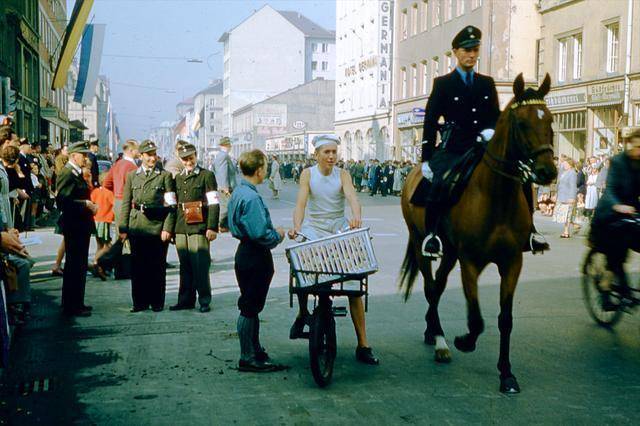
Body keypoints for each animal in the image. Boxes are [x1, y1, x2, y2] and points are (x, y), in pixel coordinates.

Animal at [402, 73, 556, 392]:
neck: (496, 196)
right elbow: (476, 320)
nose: (548, 172)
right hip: (422, 242)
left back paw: (432, 332)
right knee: (430, 286)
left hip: (449, 252)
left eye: (549, 120)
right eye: (522, 123)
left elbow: (505, 319)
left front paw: (507, 373)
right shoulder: (470, 262)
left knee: (438, 286)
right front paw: (464, 341)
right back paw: (440, 341)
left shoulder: (512, 262)